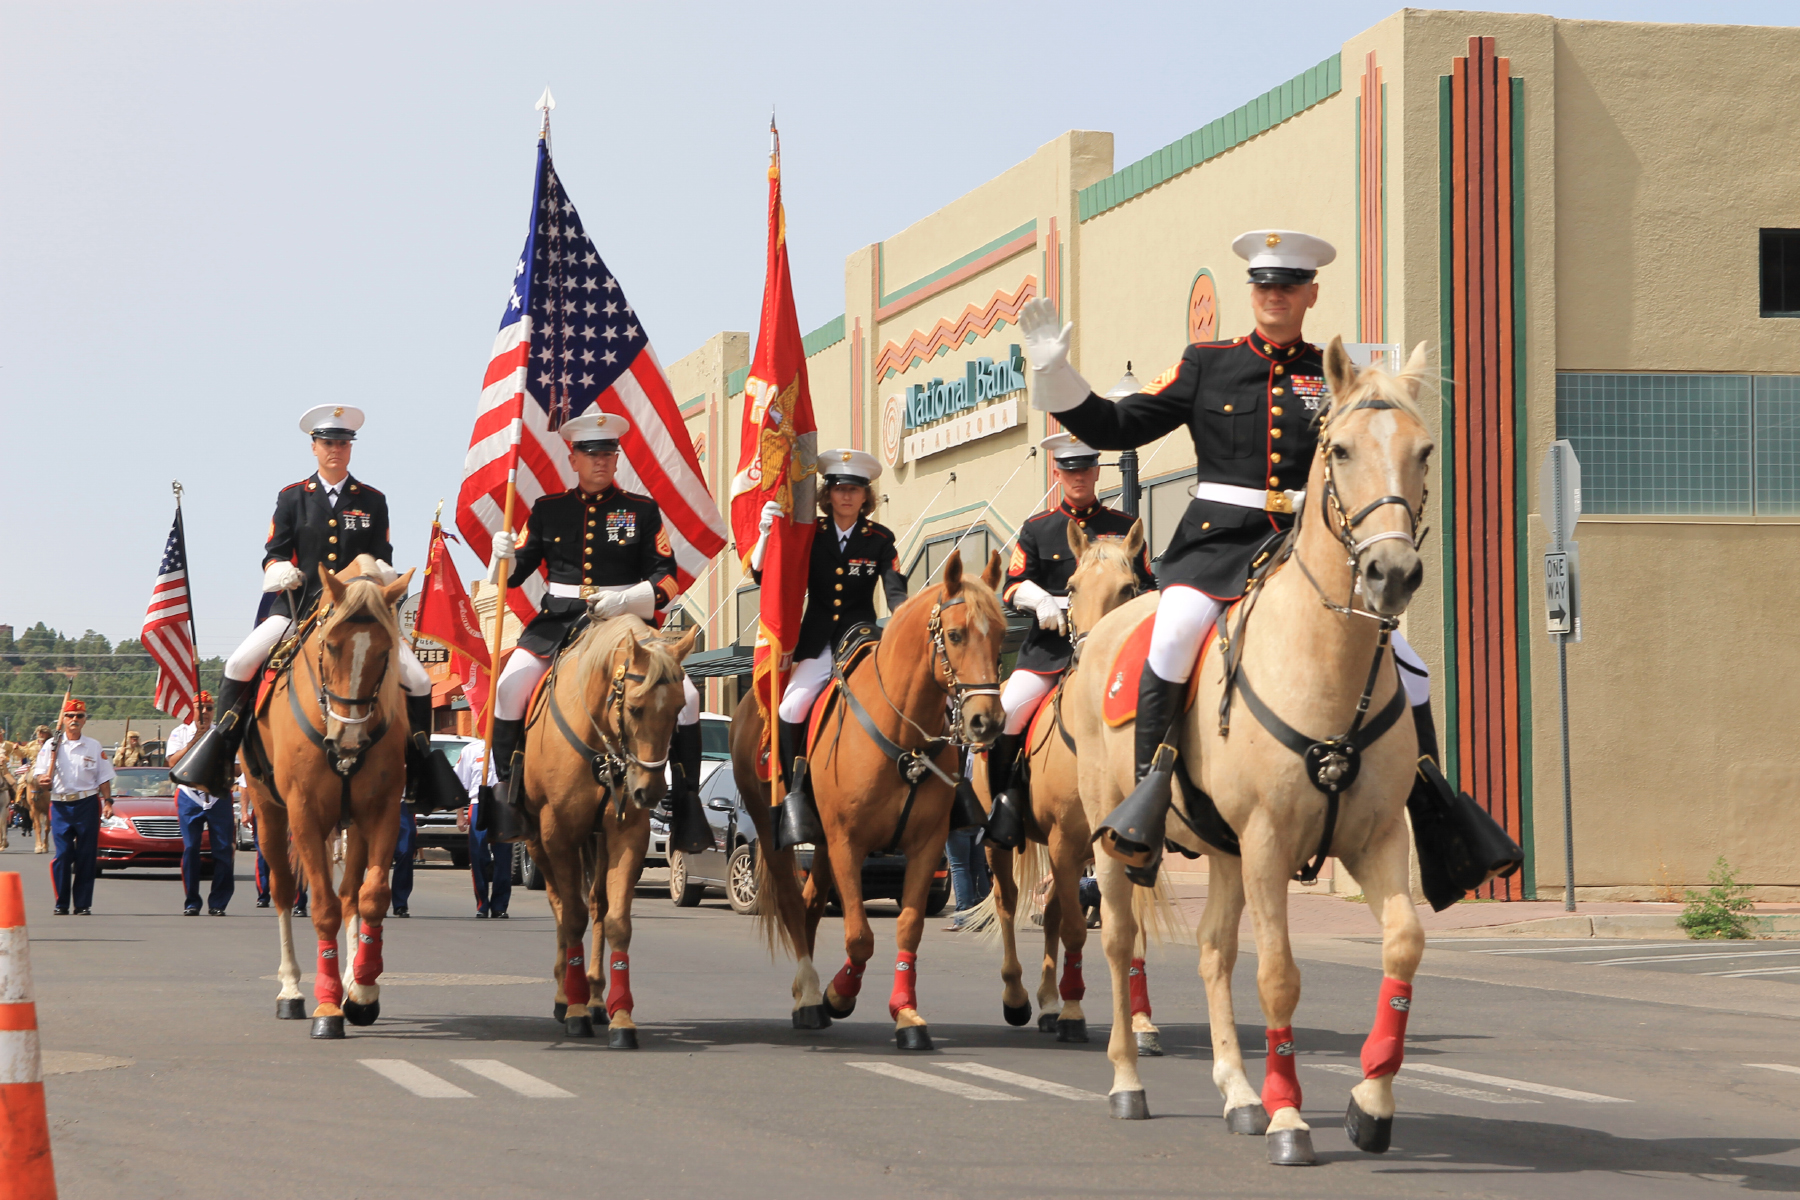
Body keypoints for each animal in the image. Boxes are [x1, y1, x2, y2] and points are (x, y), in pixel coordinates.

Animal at [243, 557, 414, 1036]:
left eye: (385, 651)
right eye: (332, 646)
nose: (348, 739)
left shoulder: (381, 810)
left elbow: (371, 897)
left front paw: (363, 990)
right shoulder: (303, 812)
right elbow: (321, 907)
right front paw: (327, 1005)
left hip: (349, 824)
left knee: (351, 894)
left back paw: (351, 978)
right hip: (269, 813)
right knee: (284, 890)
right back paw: (291, 990)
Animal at [522, 615, 694, 1043]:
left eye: (680, 708)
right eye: (635, 707)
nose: (651, 791)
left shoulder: (626, 835)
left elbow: (616, 921)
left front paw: (621, 1016)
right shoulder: (557, 835)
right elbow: (571, 917)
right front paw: (574, 1009)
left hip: (595, 842)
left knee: (597, 903)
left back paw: (597, 997)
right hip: (537, 842)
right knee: (560, 905)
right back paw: (566, 995)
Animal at [730, 550, 1015, 1050]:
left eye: (1001, 634)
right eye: (956, 634)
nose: (988, 721)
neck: (903, 733)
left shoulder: (925, 846)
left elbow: (909, 927)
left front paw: (906, 1014)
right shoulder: (849, 843)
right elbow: (860, 936)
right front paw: (839, 995)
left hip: (823, 845)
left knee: (810, 903)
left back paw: (805, 989)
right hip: (775, 831)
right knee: (792, 902)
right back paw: (810, 998)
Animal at [972, 521, 1180, 1043]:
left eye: (1129, 588)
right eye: (1069, 588)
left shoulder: (1126, 846)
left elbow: (1128, 931)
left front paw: (1140, 1021)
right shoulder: (1064, 843)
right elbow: (1072, 928)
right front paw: (1072, 1013)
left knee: (1048, 911)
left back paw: (1048, 1000)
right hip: (1004, 844)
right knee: (1009, 905)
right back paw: (1019, 998)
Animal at [1065, 338, 1432, 1165]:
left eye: (1424, 451)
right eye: (1340, 448)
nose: (1390, 572)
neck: (1325, 661)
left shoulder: (1376, 836)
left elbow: (1402, 944)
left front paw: (1371, 1100)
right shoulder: (1268, 842)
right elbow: (1279, 976)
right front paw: (1291, 1117)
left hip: (1224, 850)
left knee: (1212, 950)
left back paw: (1237, 1091)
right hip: (1113, 838)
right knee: (1120, 942)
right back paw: (1128, 1080)